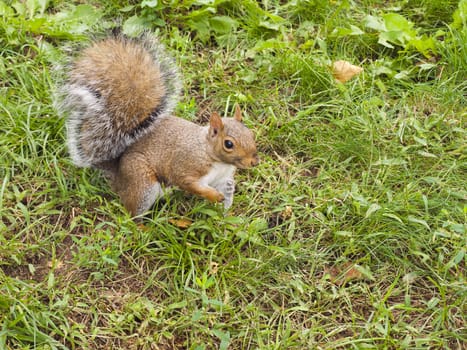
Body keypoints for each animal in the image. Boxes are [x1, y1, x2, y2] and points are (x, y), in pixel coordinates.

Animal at [58, 32, 260, 215]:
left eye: (250, 134)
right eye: (228, 144)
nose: (254, 162)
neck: (211, 155)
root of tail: (118, 176)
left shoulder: (223, 179)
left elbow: (226, 193)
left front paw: (226, 212)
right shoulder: (187, 166)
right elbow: (189, 183)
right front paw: (213, 196)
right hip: (142, 183)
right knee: (131, 214)